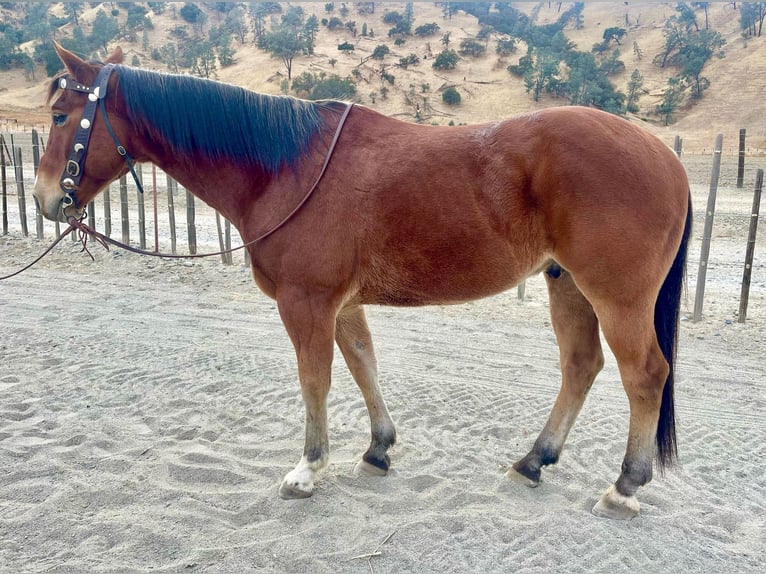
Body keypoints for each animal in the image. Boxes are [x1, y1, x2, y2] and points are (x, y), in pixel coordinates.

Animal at [33, 45, 692, 520]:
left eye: (62, 115)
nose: (44, 200)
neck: (285, 166)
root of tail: (668, 159)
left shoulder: (306, 303)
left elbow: (316, 380)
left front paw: (308, 468)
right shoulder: (341, 304)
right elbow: (362, 364)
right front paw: (378, 449)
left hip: (615, 296)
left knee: (645, 375)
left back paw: (624, 487)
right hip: (567, 285)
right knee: (581, 365)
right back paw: (535, 460)